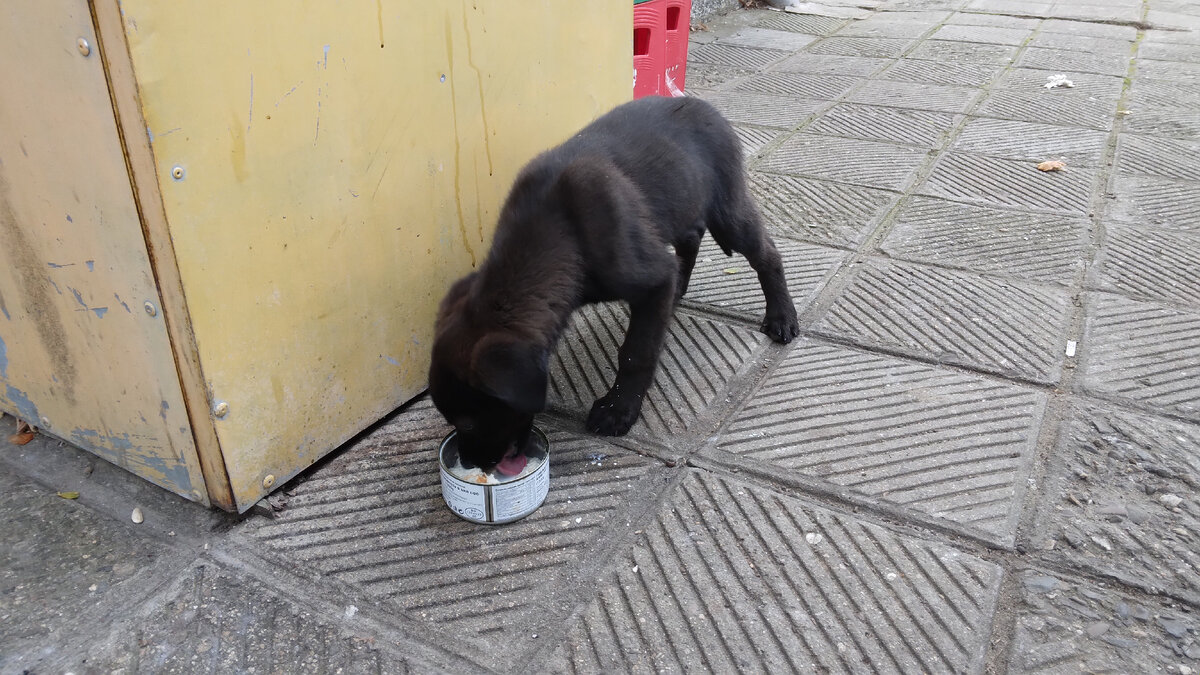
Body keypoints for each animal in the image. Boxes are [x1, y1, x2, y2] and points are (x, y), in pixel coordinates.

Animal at [428, 96, 799, 471]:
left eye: (469, 422)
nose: (470, 464)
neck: (561, 233)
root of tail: (701, 104)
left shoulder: (652, 279)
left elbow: (637, 352)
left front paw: (619, 409)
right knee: (691, 239)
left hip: (727, 212)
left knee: (767, 254)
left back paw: (782, 317)